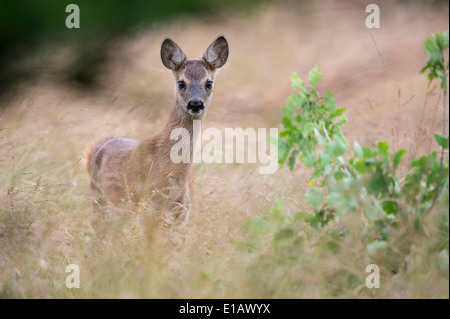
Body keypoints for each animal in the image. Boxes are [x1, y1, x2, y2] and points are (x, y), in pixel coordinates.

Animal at [85, 36, 229, 229]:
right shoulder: (152, 205)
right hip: (100, 198)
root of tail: (97, 146)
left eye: (209, 83)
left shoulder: (182, 211)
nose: (195, 104)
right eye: (181, 83)